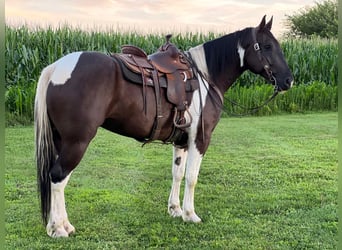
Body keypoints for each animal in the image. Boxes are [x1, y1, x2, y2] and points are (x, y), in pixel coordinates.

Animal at [34, 16, 292, 238]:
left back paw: (62, 225)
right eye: (267, 46)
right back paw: (58, 228)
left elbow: (177, 173)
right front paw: (190, 214)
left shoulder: (182, 141)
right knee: (58, 177)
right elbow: (192, 177)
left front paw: (175, 209)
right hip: (77, 141)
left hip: (61, 141)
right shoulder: (200, 139)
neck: (205, 77)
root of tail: (55, 68)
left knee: (57, 178)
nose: (288, 80)